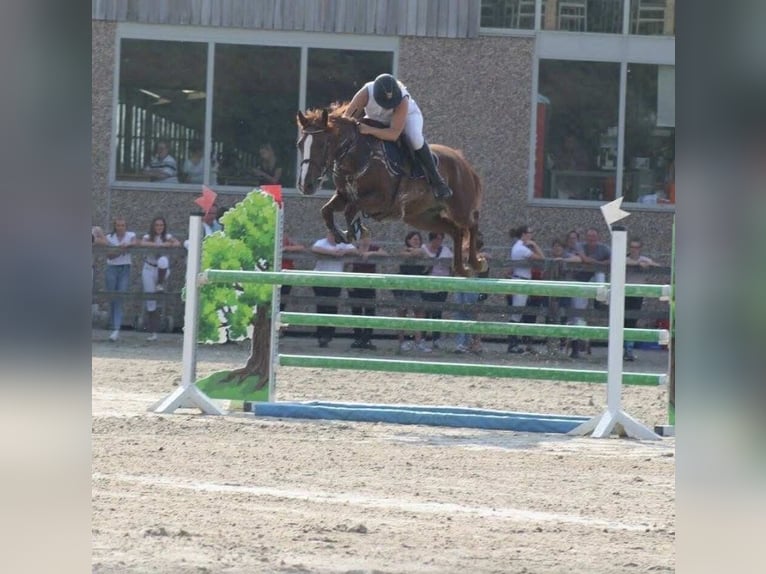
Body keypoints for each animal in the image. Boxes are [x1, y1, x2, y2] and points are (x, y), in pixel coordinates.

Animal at [296, 102, 486, 276]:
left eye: (323, 144)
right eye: (299, 144)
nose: (306, 185)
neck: (357, 156)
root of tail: (462, 160)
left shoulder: (382, 199)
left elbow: (352, 208)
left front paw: (355, 231)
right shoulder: (343, 196)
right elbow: (326, 210)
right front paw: (340, 235)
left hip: (459, 208)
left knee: (472, 223)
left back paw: (476, 263)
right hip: (421, 217)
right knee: (455, 230)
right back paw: (461, 269)